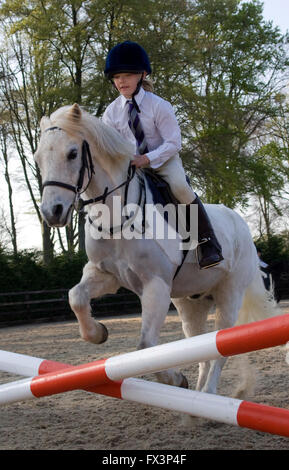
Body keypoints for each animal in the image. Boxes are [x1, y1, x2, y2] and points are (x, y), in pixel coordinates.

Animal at [34, 104, 276, 394]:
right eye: (37, 159)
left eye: (72, 154)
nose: (52, 212)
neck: (116, 216)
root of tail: (240, 224)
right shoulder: (106, 275)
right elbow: (76, 297)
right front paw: (98, 332)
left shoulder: (155, 285)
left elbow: (146, 347)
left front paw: (175, 379)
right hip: (191, 303)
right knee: (201, 350)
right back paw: (198, 398)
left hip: (230, 294)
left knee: (220, 347)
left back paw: (208, 392)